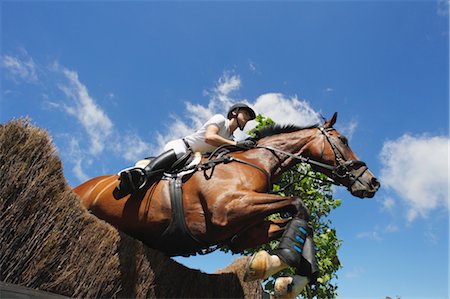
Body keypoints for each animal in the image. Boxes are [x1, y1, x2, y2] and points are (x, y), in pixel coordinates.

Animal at [74, 113, 380, 298]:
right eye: (343, 140)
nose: (372, 182)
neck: (257, 162)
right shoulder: (229, 209)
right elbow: (299, 204)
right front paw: (271, 263)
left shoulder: (244, 231)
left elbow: (302, 227)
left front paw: (288, 282)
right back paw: (132, 179)